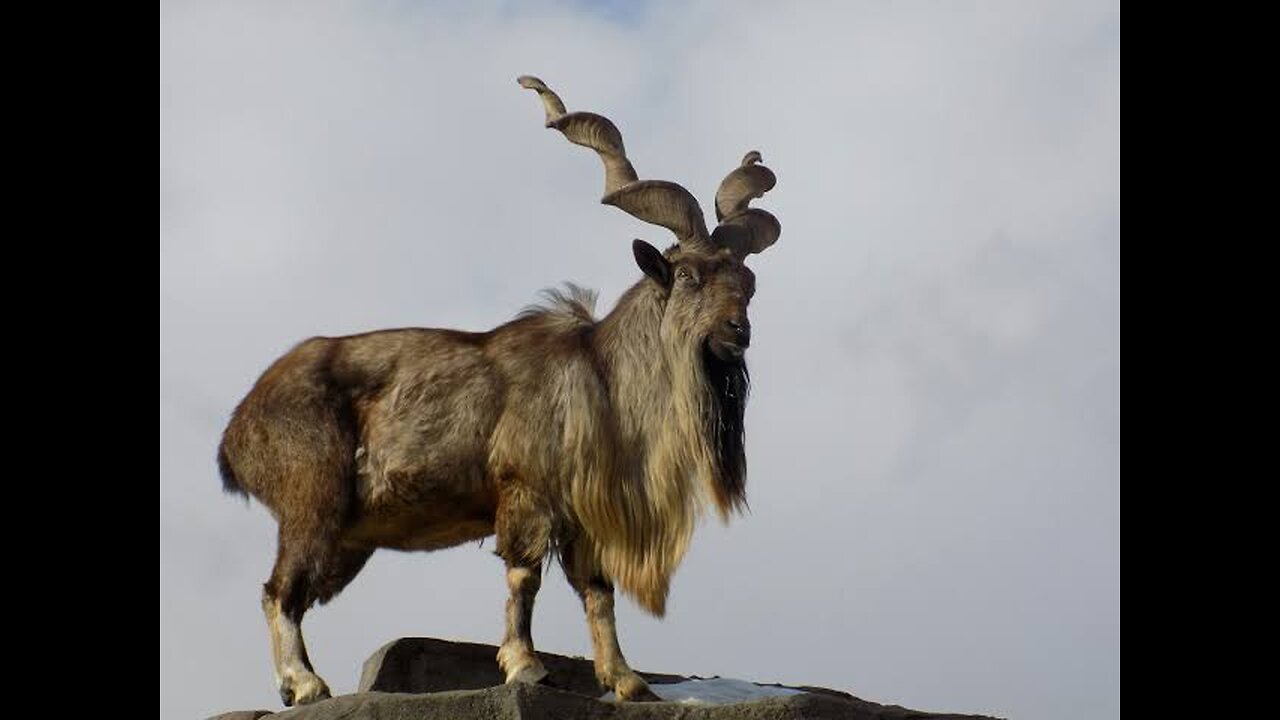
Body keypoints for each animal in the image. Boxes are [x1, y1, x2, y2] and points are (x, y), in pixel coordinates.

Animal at [217, 75, 778, 702]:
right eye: (686, 275)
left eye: (748, 283)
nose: (736, 332)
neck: (603, 378)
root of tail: (239, 426)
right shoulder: (524, 494)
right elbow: (524, 577)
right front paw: (525, 665)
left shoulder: (582, 519)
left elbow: (597, 591)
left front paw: (627, 681)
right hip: (311, 501)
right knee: (279, 590)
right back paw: (307, 683)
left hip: (348, 538)